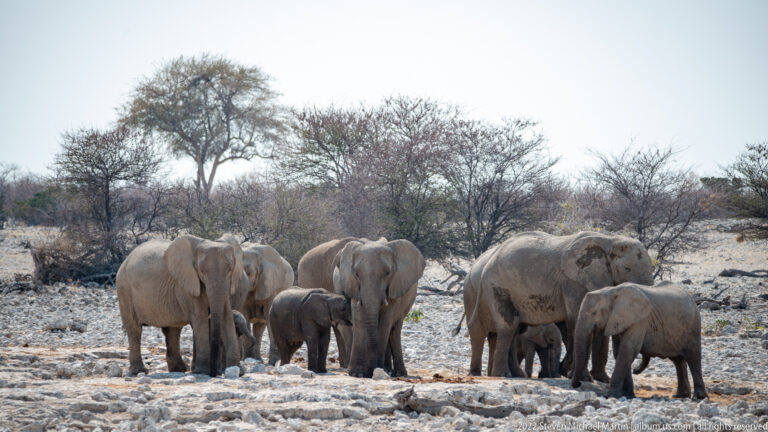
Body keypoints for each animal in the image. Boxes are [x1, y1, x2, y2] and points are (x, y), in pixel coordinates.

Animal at [116, 234, 244, 376]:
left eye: (230, 270)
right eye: (202, 271)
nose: (215, 373)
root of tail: (126, 259)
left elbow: (227, 316)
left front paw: (237, 371)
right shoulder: (186, 284)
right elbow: (200, 319)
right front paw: (202, 372)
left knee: (173, 330)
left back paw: (180, 369)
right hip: (124, 290)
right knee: (134, 329)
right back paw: (139, 371)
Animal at [334, 238, 425, 378]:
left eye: (388, 273)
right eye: (356, 274)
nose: (370, 370)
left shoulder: (395, 286)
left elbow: (385, 322)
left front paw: (376, 369)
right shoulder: (353, 286)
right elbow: (359, 319)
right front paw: (356, 373)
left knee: (394, 329)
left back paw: (396, 373)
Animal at [467, 231, 653, 378]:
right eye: (627, 268)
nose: (635, 370)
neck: (609, 239)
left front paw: (597, 379)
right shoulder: (573, 282)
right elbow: (576, 320)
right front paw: (579, 376)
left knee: (515, 328)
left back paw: (515, 374)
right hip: (497, 285)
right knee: (506, 326)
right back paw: (500, 375)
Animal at [571, 281, 707, 399]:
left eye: (594, 313)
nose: (578, 384)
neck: (611, 291)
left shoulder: (639, 320)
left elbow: (628, 350)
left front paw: (611, 396)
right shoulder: (618, 321)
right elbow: (619, 352)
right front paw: (627, 395)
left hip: (693, 325)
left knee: (693, 358)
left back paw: (698, 397)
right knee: (678, 361)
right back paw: (681, 396)